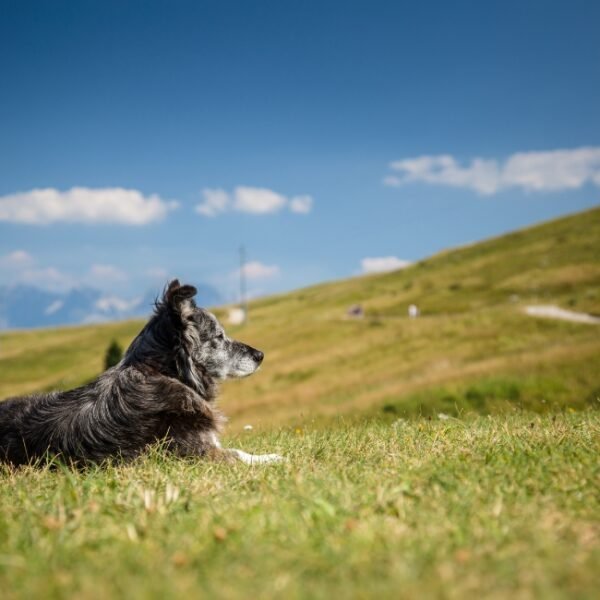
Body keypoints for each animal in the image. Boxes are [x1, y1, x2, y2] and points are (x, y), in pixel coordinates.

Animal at [0, 278, 284, 466]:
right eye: (219, 336)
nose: (260, 355)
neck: (162, 373)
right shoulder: (197, 453)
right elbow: (239, 455)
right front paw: (275, 458)